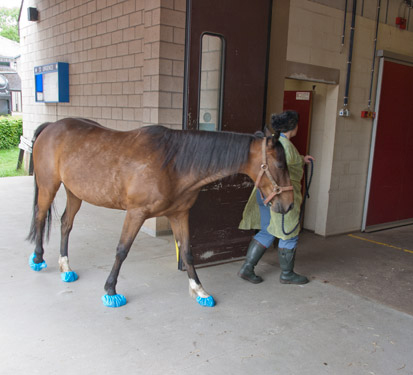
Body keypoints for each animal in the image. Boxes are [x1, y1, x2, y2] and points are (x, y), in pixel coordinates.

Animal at [26, 117, 292, 308]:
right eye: (280, 164)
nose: (288, 205)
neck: (174, 164)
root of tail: (51, 126)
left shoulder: (179, 215)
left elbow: (188, 253)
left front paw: (200, 291)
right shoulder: (135, 213)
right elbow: (122, 250)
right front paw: (111, 290)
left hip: (75, 193)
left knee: (65, 224)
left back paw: (66, 267)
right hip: (49, 186)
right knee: (40, 217)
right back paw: (38, 259)